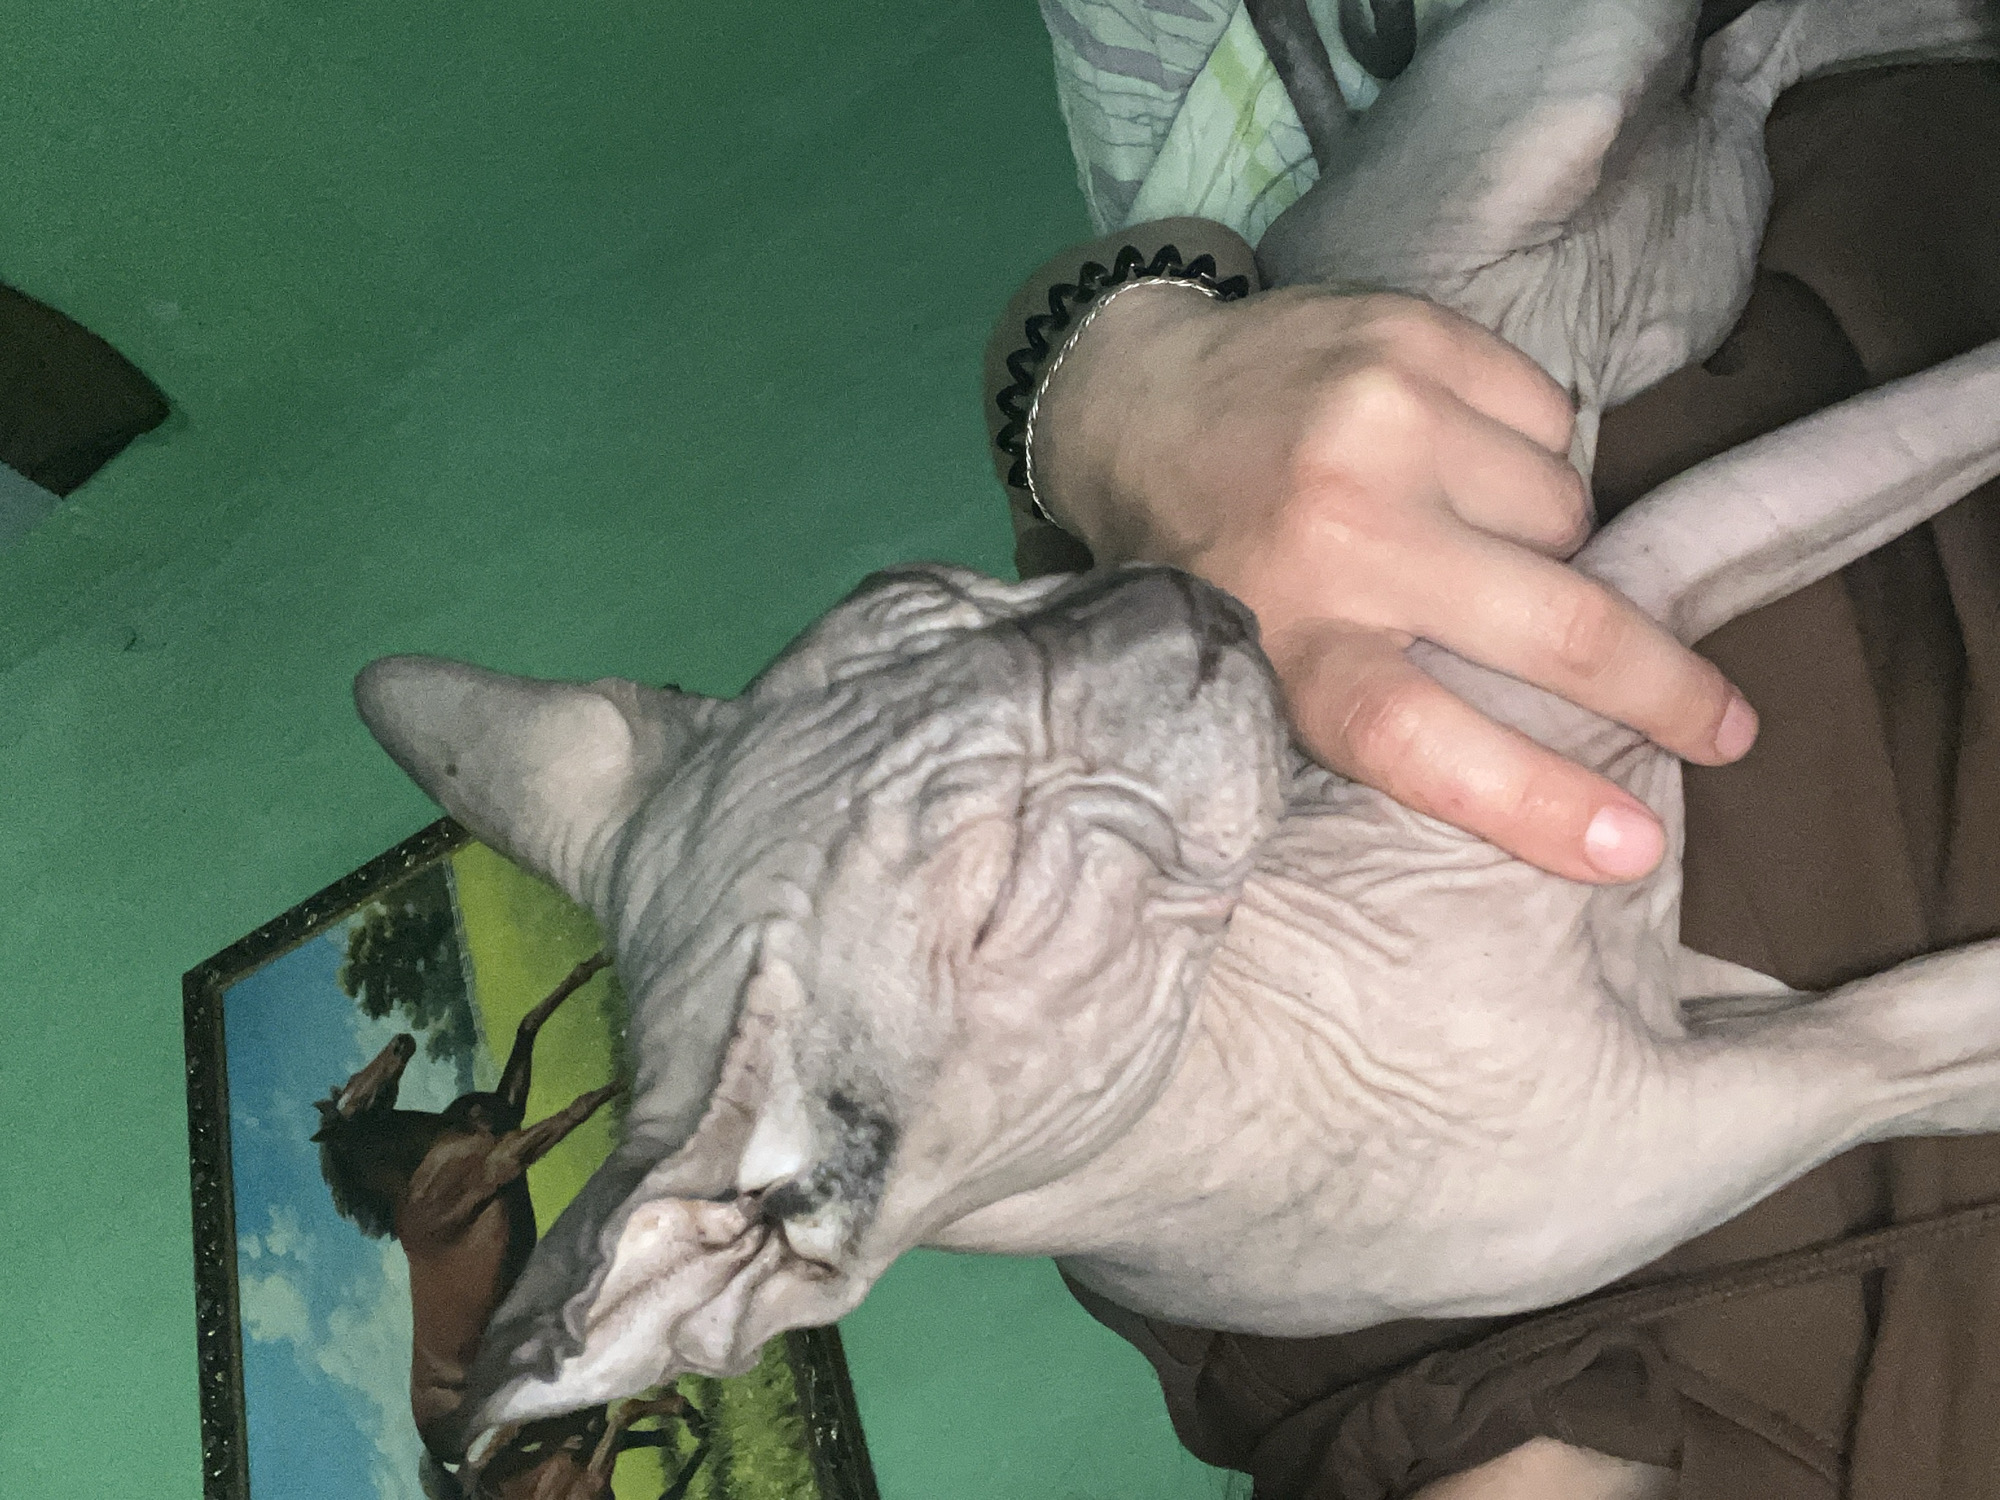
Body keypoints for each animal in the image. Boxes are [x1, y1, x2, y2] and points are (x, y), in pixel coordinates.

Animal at [313, 951, 623, 1459]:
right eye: (351, 1096)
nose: (400, 1043)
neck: (421, 1168)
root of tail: (431, 1441)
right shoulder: (504, 1158)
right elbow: (578, 1108)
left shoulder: (507, 1114)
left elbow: (528, 1024)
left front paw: (598, 963)